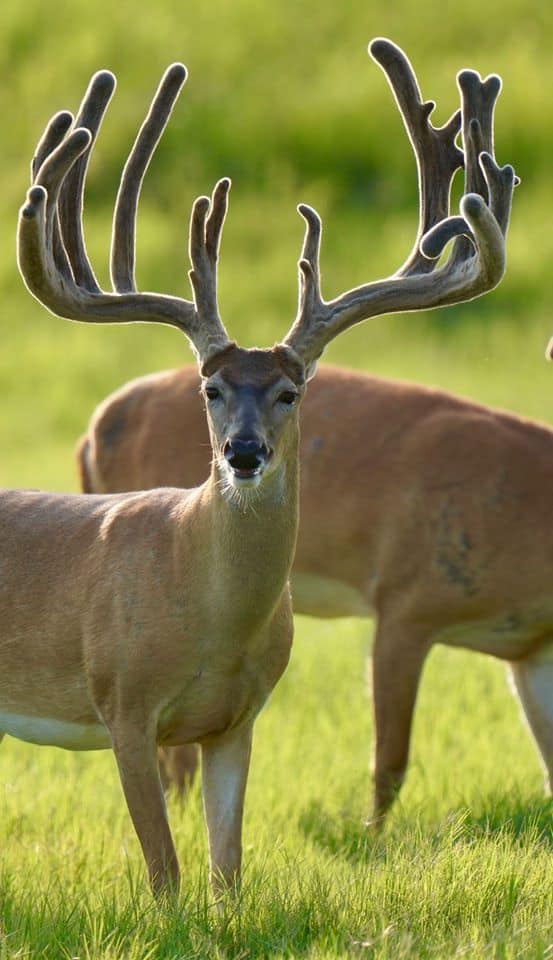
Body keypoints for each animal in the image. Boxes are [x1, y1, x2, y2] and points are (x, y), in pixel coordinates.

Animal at [8, 37, 512, 900]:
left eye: (289, 390)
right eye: (209, 389)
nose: (242, 452)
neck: (208, 618)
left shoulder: (237, 720)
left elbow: (226, 874)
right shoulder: (122, 703)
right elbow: (167, 878)